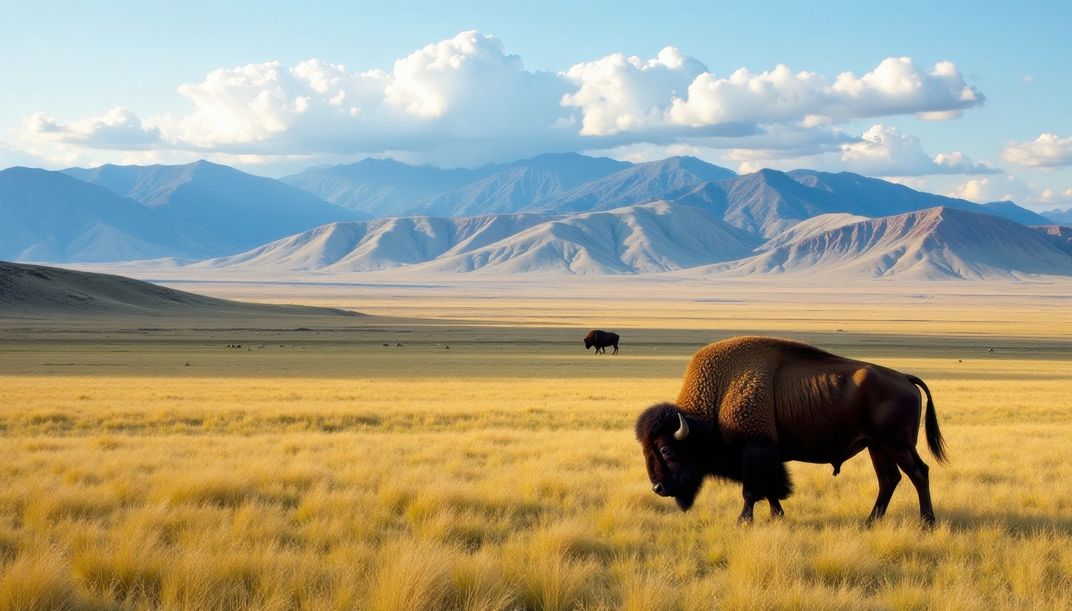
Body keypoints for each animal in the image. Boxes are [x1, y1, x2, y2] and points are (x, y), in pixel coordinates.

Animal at [636, 336, 947, 525]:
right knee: (889, 479)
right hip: (877, 446)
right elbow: (770, 488)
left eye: (665, 448)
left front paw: (743, 521)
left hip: (898, 444)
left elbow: (752, 490)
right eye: (645, 450)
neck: (720, 394)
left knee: (919, 473)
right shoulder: (767, 457)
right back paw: (871, 522)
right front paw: (777, 516)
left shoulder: (755, 450)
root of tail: (904, 377)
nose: (658, 488)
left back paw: (926, 523)